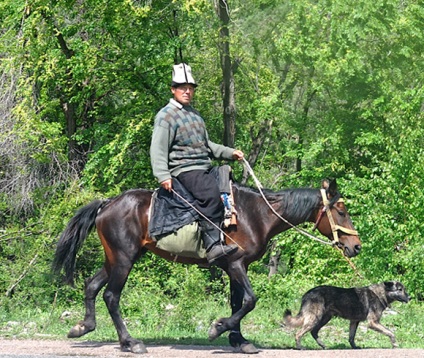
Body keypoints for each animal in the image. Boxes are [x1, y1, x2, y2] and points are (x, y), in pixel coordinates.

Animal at [51, 178, 360, 354]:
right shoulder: (235, 264)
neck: (256, 214)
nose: (356, 246)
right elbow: (250, 300)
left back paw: (83, 326)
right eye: (341, 211)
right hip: (124, 259)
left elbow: (237, 302)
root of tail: (107, 204)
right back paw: (130, 342)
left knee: (92, 286)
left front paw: (239, 340)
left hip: (116, 259)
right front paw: (218, 328)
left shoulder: (238, 268)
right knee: (111, 296)